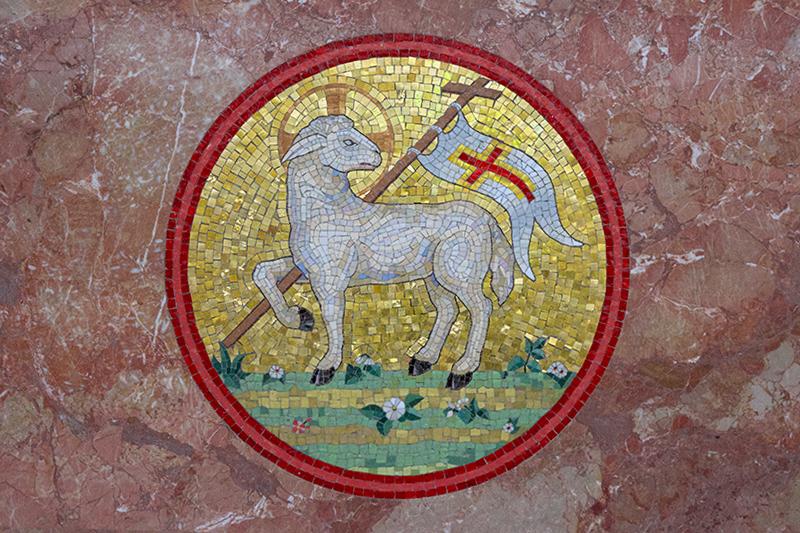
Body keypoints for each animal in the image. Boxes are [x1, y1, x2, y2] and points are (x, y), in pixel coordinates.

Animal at [253, 115, 516, 389]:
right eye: (348, 141)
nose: (377, 155)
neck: (327, 209)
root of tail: (486, 218)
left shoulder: (331, 278)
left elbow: (332, 315)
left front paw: (326, 367)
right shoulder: (306, 269)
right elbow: (261, 272)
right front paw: (299, 318)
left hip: (459, 271)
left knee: (482, 307)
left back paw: (462, 371)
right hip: (435, 276)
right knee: (448, 309)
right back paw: (423, 360)